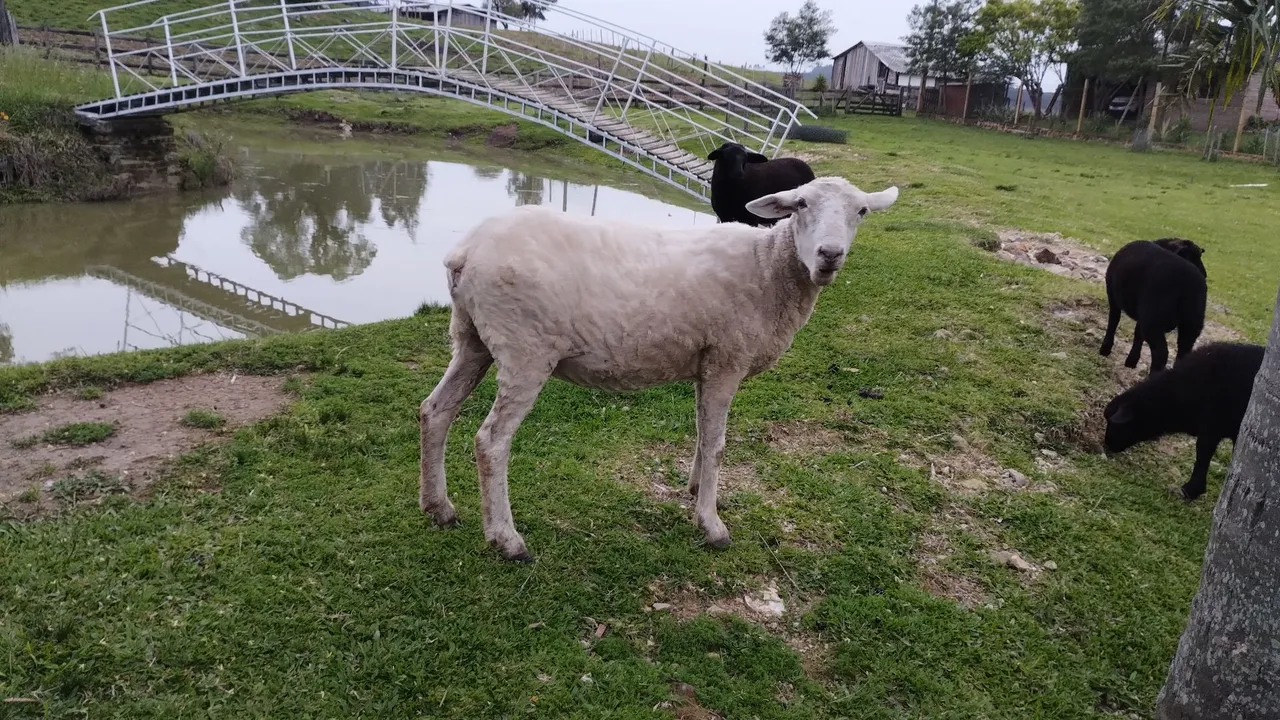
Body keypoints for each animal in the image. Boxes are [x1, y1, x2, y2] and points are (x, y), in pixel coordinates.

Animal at [419, 176, 901, 558]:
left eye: (860, 211)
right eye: (800, 204)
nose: (829, 254)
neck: (768, 267)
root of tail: (464, 252)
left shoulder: (707, 362)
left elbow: (703, 434)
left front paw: (696, 490)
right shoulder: (727, 358)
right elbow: (718, 444)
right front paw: (711, 524)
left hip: (472, 339)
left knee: (434, 412)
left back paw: (438, 507)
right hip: (525, 349)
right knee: (491, 441)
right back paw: (506, 539)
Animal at [1100, 237, 1208, 371]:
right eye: (1195, 258)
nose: (1205, 274)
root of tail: (1190, 284)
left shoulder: (1114, 297)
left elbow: (1113, 321)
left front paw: (1105, 349)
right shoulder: (1142, 313)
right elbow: (1137, 333)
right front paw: (1132, 361)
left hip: (1154, 320)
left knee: (1161, 354)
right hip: (1191, 324)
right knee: (1184, 352)